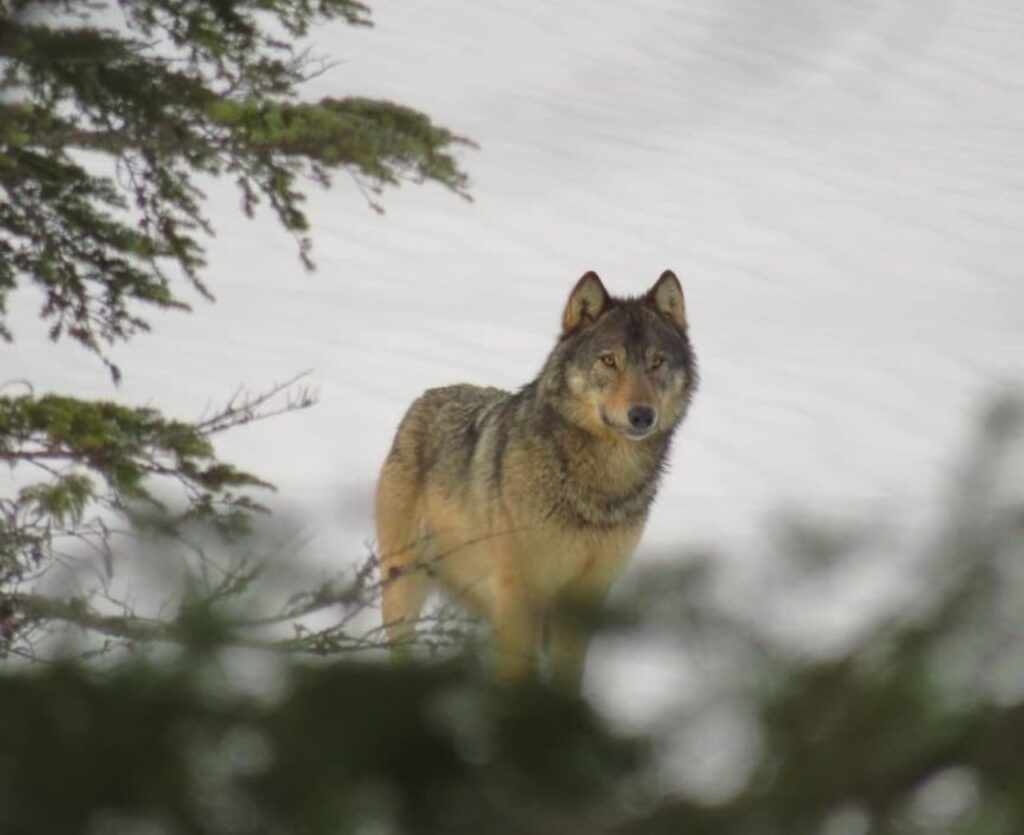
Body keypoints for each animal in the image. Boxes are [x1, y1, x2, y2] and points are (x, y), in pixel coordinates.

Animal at [375, 270, 698, 690]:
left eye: (657, 362)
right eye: (609, 361)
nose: (642, 415)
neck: (601, 485)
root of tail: (425, 398)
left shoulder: (586, 598)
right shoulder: (521, 595)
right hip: (406, 586)